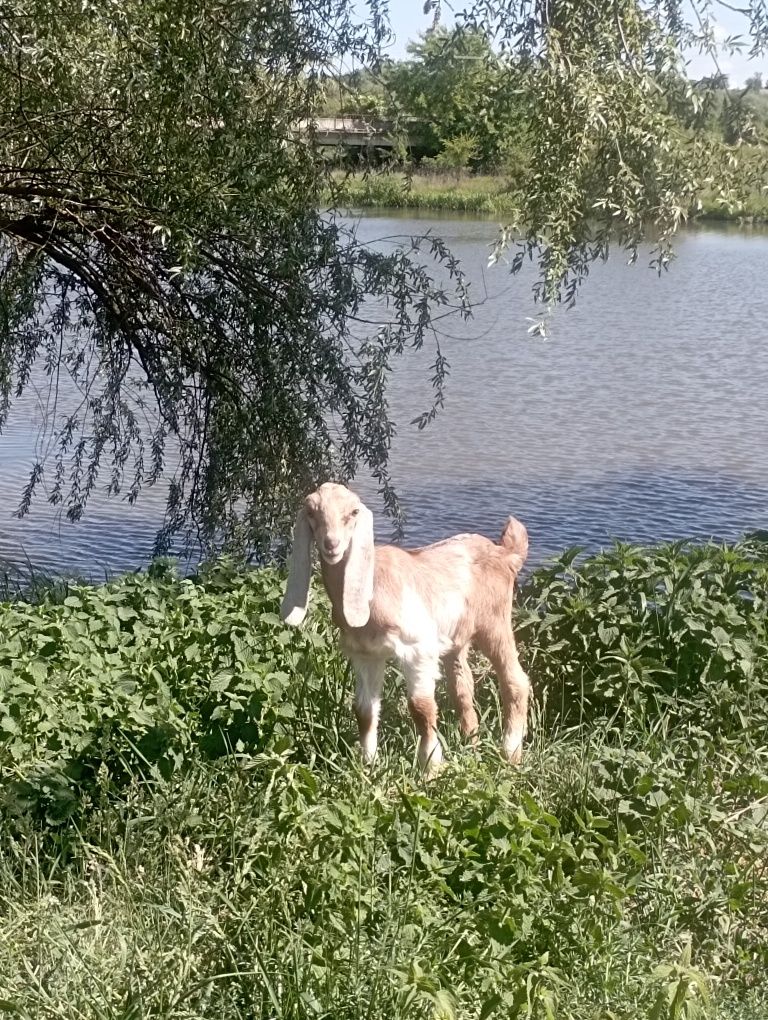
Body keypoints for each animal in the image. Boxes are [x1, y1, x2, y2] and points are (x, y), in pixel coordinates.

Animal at [279, 481, 530, 767]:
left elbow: (420, 707)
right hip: (456, 637)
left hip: (494, 621)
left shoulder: (418, 648)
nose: (331, 544)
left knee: (515, 681)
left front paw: (431, 767)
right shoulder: (366, 654)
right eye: (311, 512)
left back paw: (510, 753)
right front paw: (368, 765)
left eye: (353, 512)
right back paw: (471, 745)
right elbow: (364, 710)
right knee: (462, 687)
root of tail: (505, 553)